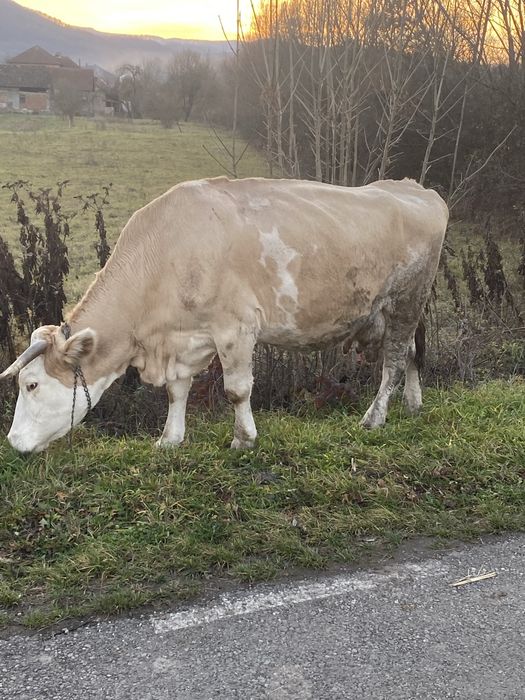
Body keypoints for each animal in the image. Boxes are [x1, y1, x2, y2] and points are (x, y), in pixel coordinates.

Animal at [0, 177, 448, 453]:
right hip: (394, 311)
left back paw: (375, 417)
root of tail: (416, 189)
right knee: (410, 352)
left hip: (406, 300)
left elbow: (237, 390)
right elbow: (176, 391)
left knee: (393, 361)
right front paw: (170, 439)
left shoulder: (236, 328)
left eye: (32, 384)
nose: (14, 443)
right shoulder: (184, 338)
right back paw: (412, 404)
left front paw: (243, 439)